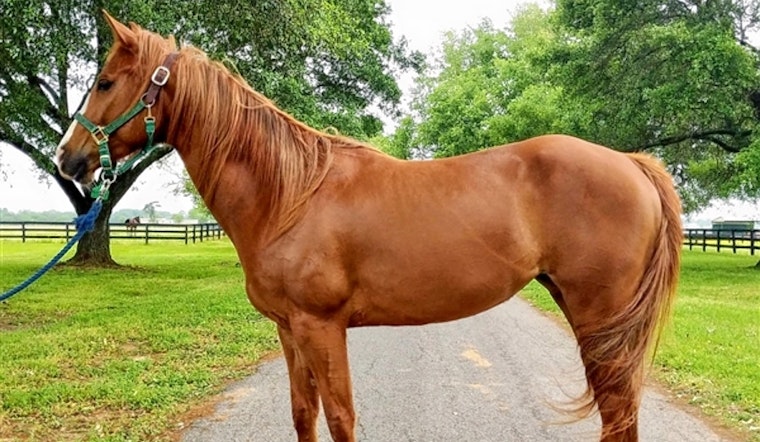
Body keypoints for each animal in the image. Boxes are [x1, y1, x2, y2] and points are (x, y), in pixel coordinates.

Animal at [55, 13, 682, 442]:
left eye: (105, 82)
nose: (67, 158)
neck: (289, 195)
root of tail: (631, 163)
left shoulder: (322, 327)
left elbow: (341, 418)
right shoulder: (290, 330)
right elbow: (303, 415)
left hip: (601, 318)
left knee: (619, 415)